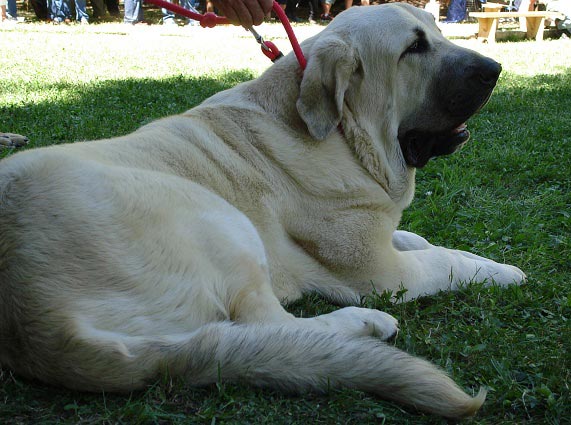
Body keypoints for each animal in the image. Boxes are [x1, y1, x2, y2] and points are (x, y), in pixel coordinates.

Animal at [0, 3, 528, 420]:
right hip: (220, 219)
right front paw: (502, 271)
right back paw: (364, 325)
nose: (495, 67)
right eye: (413, 48)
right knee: (271, 323)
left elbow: (422, 241)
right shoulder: (380, 271)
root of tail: (40, 324)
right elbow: (443, 260)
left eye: (436, 31)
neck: (343, 135)